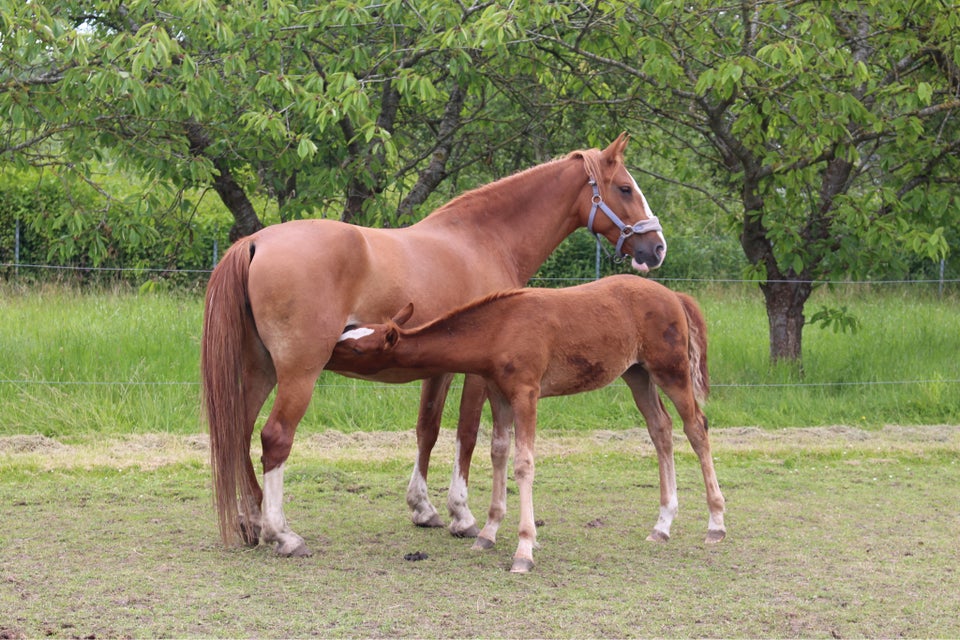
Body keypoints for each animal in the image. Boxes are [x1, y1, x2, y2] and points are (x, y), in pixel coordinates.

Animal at [201, 134, 668, 556]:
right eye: (625, 188)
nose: (657, 247)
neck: (482, 240)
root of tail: (256, 242)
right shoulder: (478, 373)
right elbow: (467, 435)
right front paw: (462, 515)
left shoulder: (438, 366)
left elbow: (427, 429)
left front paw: (423, 509)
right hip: (299, 373)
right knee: (274, 437)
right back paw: (282, 534)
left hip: (261, 370)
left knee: (239, 433)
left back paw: (252, 522)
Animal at [334, 274, 724, 568]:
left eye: (355, 347)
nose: (326, 351)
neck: (499, 328)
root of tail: (674, 295)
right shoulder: (499, 394)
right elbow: (498, 453)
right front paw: (488, 533)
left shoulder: (526, 393)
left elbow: (523, 463)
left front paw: (524, 549)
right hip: (637, 375)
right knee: (661, 430)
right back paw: (662, 525)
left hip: (671, 371)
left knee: (696, 428)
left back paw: (715, 524)